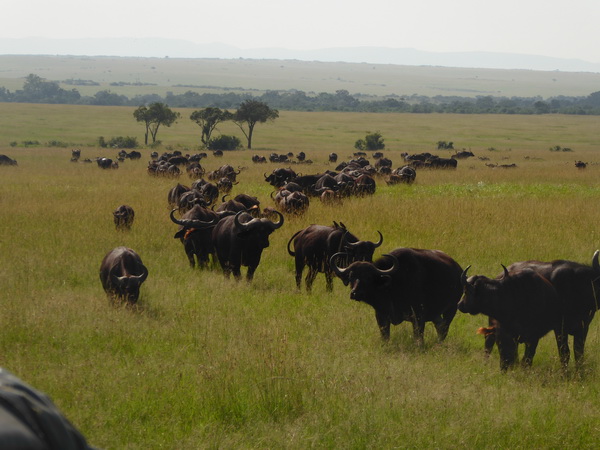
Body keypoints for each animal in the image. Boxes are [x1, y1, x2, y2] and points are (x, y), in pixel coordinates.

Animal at [330, 248, 462, 342]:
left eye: (368, 277)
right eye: (351, 276)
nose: (355, 293)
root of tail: (459, 270)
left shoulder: (419, 315)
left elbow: (418, 337)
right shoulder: (381, 315)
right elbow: (385, 336)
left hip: (451, 309)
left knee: (444, 328)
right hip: (436, 314)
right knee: (440, 327)